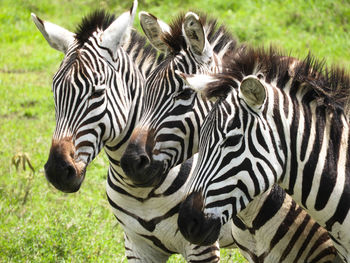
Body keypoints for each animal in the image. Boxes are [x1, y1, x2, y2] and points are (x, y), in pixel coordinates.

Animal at [31, 1, 235, 262]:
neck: (141, 191)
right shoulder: (137, 245)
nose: (57, 171)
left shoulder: (201, 247)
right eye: (54, 92)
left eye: (97, 92)